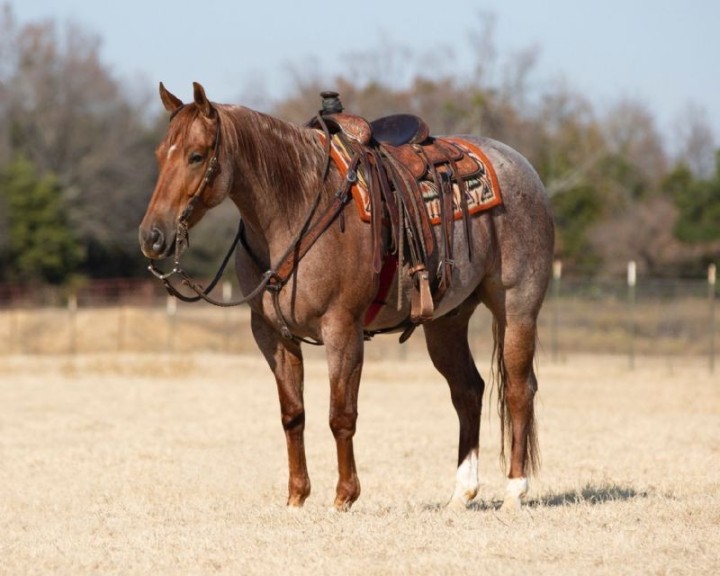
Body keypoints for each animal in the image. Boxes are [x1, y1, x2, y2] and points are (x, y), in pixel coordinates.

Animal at [139, 82, 554, 511]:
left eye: (196, 155)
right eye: (160, 154)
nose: (153, 236)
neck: (297, 205)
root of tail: (522, 167)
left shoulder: (342, 328)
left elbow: (341, 414)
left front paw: (344, 496)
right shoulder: (272, 334)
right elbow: (293, 414)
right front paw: (297, 496)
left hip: (517, 306)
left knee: (519, 389)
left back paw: (514, 491)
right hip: (446, 321)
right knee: (468, 391)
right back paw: (461, 493)